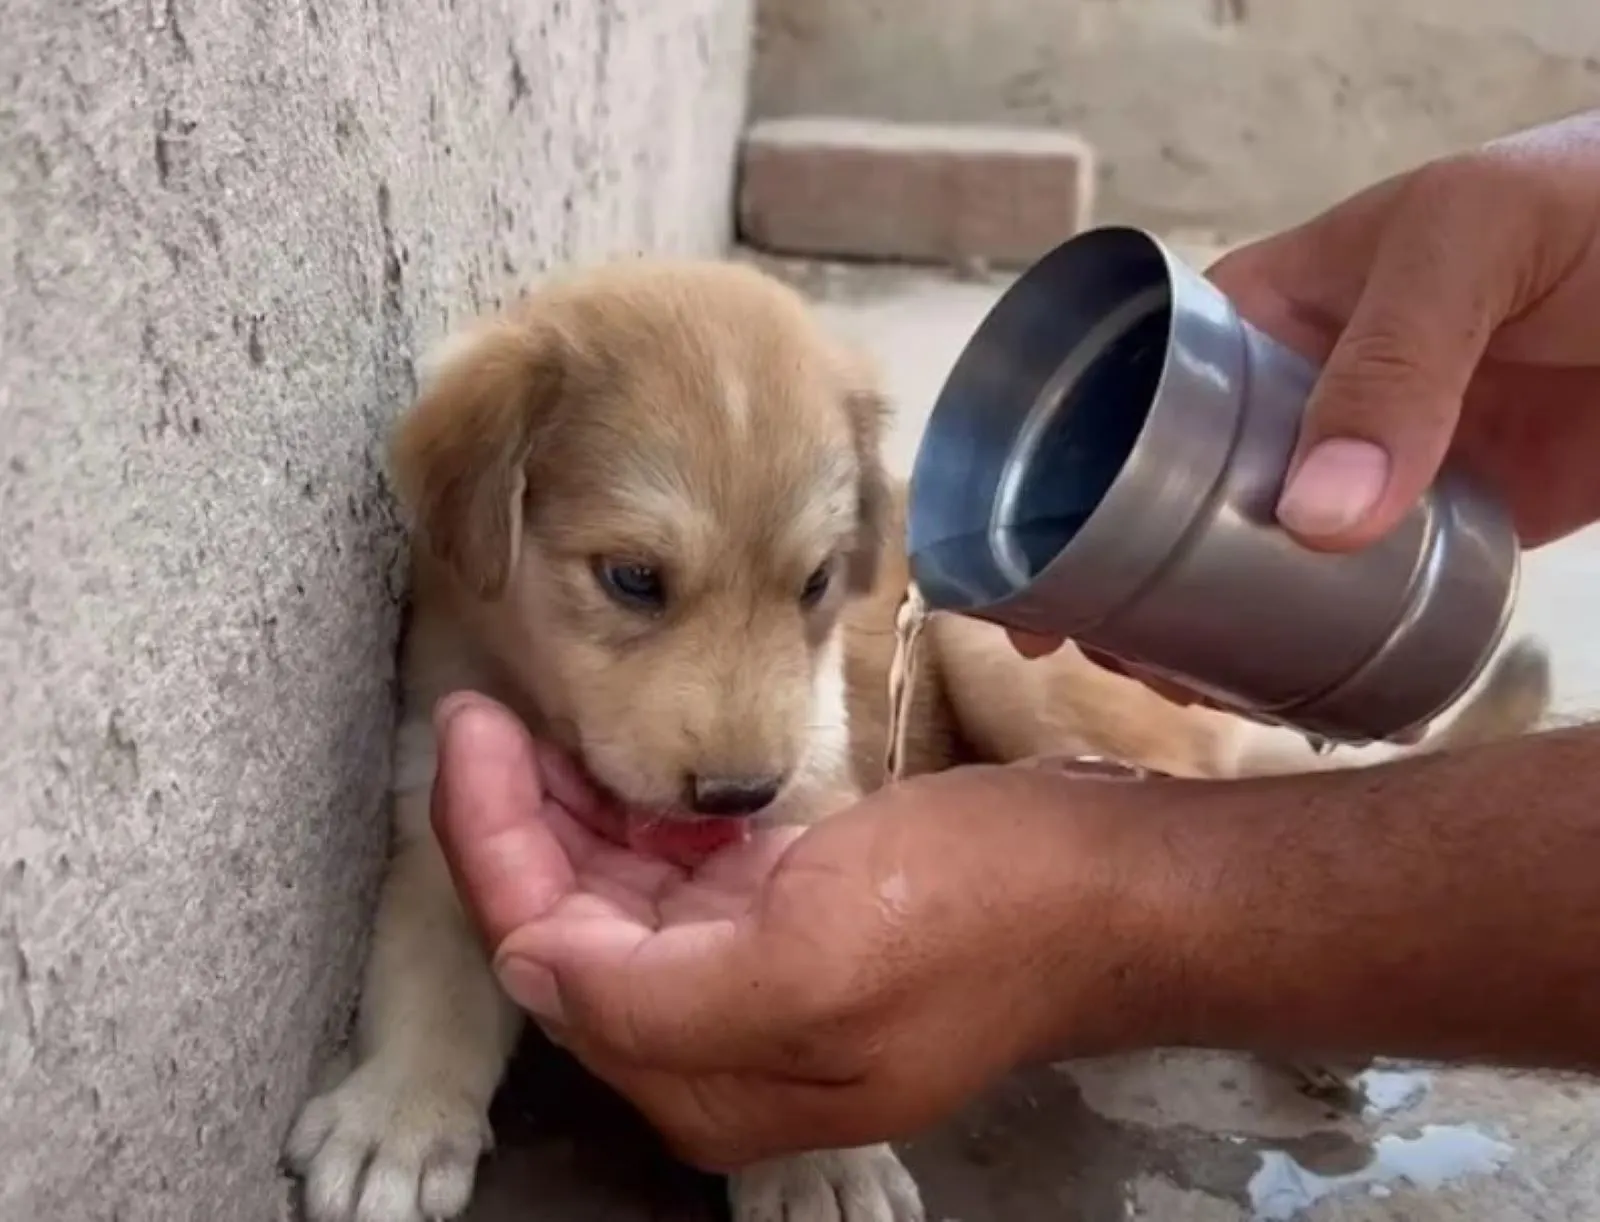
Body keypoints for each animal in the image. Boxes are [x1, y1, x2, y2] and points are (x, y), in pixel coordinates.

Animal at [284, 252, 1548, 1215]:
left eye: (813, 582)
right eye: (632, 579)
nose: (735, 796)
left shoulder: (817, 774)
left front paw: (816, 1161)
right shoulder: (432, 796)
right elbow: (427, 977)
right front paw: (402, 1111)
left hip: (998, 653)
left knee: (1201, 801)